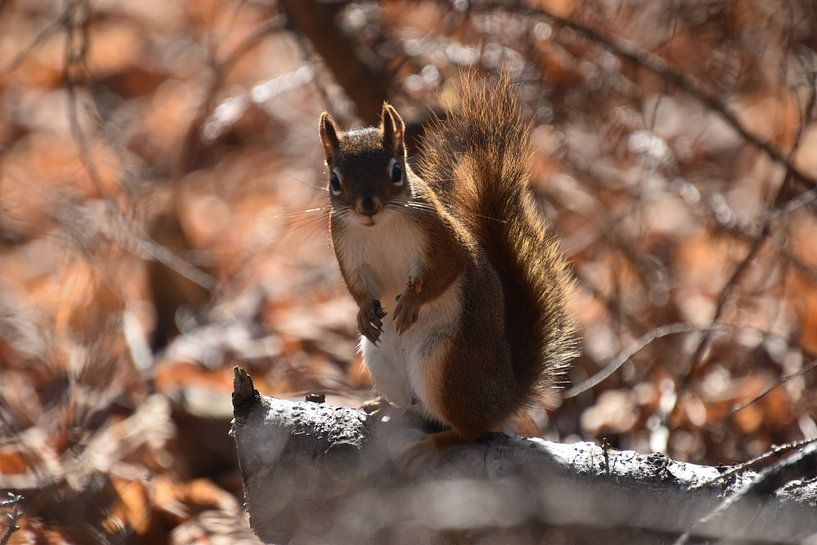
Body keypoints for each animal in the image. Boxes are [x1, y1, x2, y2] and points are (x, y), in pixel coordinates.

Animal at [318, 73, 578, 452]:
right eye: (335, 180)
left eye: (396, 171)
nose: (368, 207)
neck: (379, 227)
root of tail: (506, 397)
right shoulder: (346, 249)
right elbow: (357, 288)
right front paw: (364, 313)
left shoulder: (443, 241)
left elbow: (445, 272)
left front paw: (410, 305)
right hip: (381, 360)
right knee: (414, 405)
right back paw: (386, 406)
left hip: (445, 365)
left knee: (469, 429)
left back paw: (431, 446)